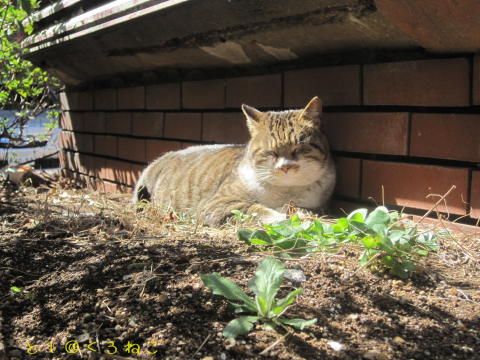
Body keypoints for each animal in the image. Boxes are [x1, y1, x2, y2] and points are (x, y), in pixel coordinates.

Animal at [133, 95, 336, 225]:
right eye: (270, 153)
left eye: (299, 149)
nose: (285, 167)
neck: (285, 192)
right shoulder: (217, 204)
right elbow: (253, 208)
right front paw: (281, 217)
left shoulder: (317, 203)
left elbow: (301, 209)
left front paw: (299, 213)